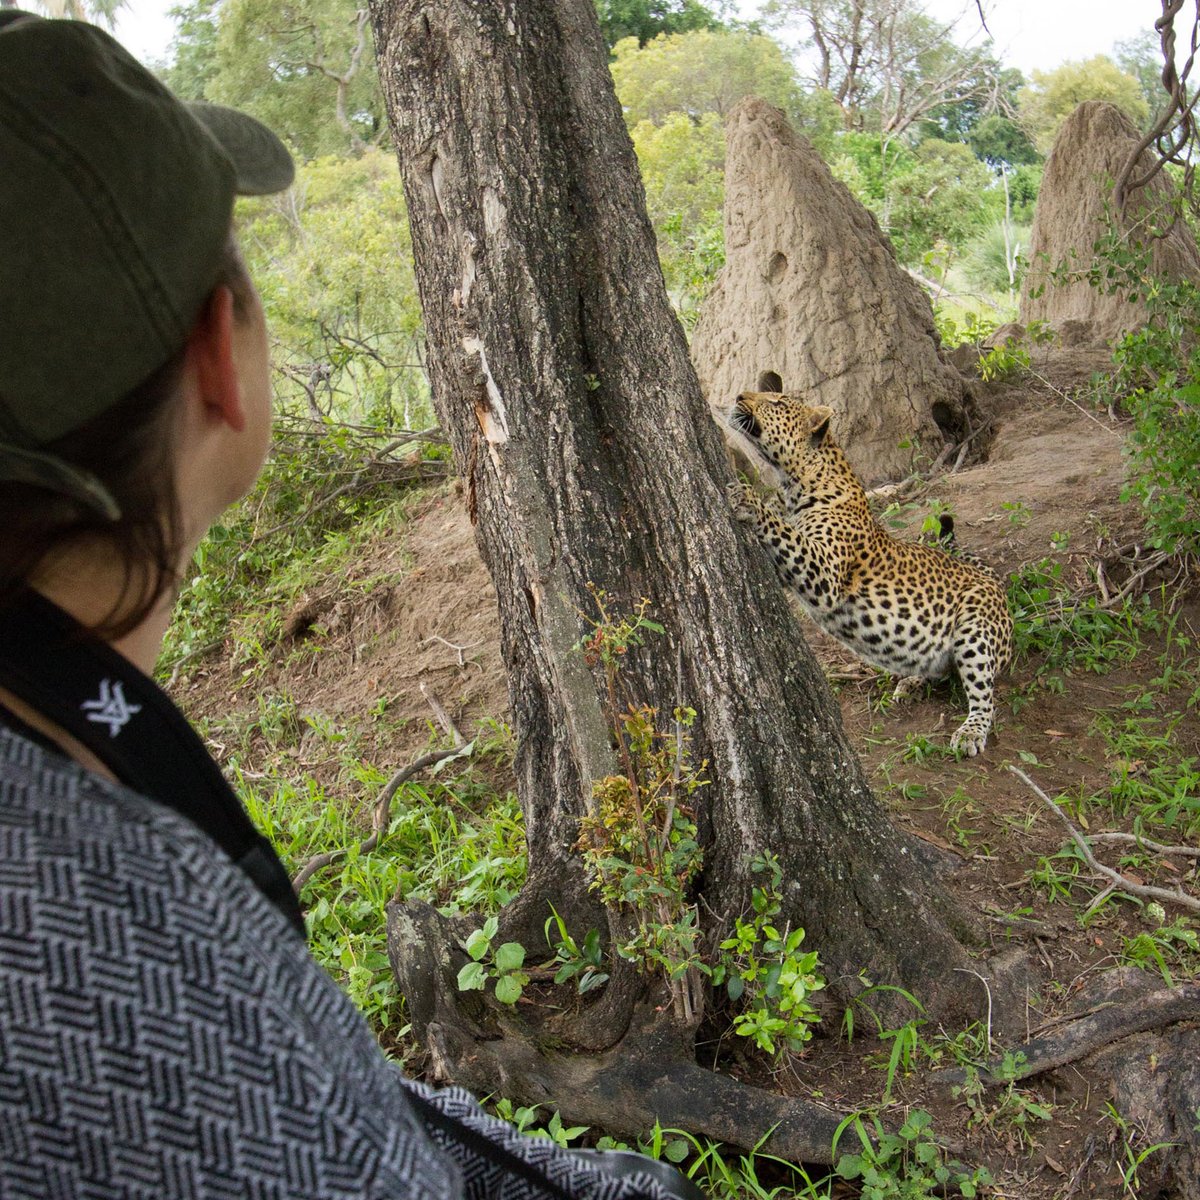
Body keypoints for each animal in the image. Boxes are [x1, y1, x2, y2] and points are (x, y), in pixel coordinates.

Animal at [726, 390, 1013, 757]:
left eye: (776, 402)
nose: (739, 395)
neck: (794, 483)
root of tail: (996, 584)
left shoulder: (823, 573)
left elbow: (786, 532)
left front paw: (748, 500)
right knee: (942, 668)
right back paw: (912, 682)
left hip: (976, 629)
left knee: (984, 694)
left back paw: (970, 732)